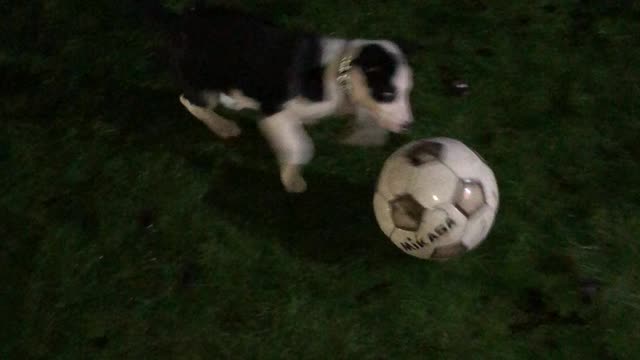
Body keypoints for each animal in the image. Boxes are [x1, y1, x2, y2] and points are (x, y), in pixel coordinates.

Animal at [143, 2, 416, 193]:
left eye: (407, 92)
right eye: (388, 94)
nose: (408, 125)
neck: (338, 74)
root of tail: (180, 20)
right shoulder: (275, 110)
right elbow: (301, 146)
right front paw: (292, 179)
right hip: (202, 79)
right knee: (190, 101)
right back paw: (223, 126)